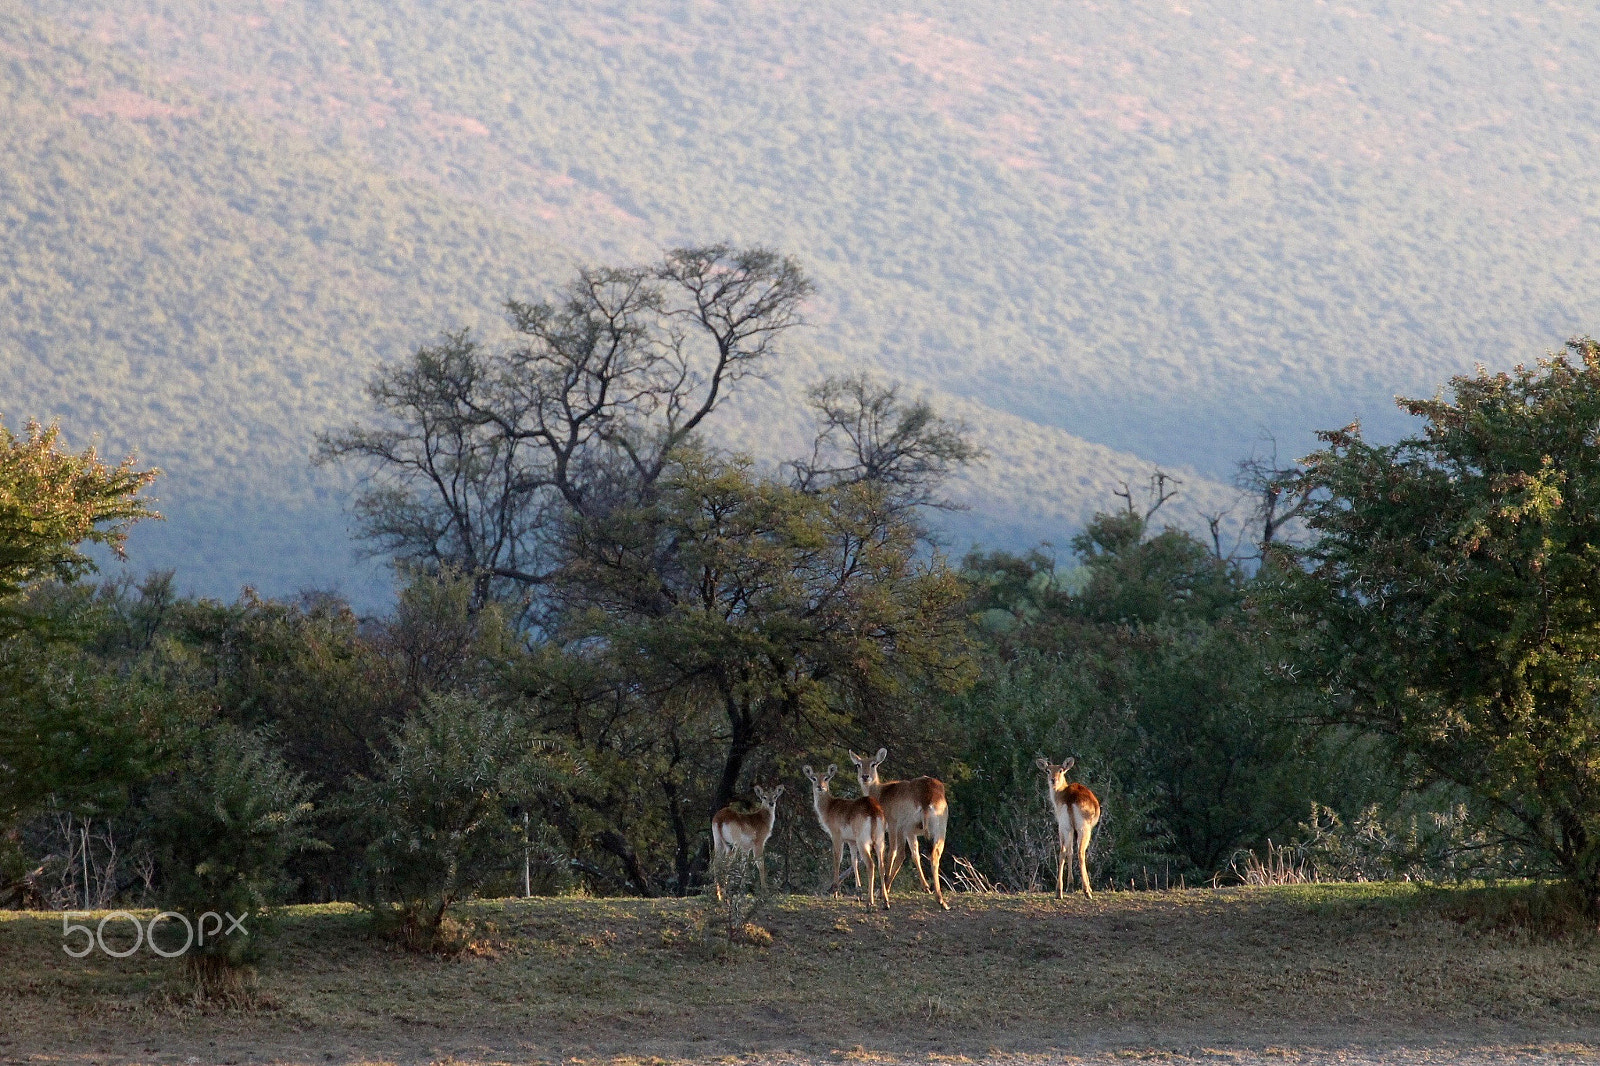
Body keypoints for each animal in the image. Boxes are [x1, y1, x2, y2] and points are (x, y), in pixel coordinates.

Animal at [800, 758, 889, 909]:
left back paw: (869, 903)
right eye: (813, 778)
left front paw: (835, 892)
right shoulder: (851, 841)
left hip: (863, 840)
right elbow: (853, 861)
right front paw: (858, 894)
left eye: (827, 778)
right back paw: (885, 902)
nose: (820, 787)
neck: (829, 808)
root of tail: (873, 810)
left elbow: (837, 858)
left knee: (871, 864)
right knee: (881, 865)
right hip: (879, 839)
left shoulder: (836, 835)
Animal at [851, 745, 947, 902]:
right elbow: (915, 854)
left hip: (903, 826)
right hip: (936, 829)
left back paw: (883, 890)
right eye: (858, 764)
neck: (880, 793)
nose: (865, 776)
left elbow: (891, 853)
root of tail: (927, 798)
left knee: (899, 853)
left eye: (874, 764)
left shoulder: (892, 826)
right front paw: (926, 887)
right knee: (933, 854)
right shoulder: (912, 833)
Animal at [1036, 755, 1100, 896]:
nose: (1053, 780)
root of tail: (1070, 799)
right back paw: (1087, 891)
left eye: (1060, 770)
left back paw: (1058, 892)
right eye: (1047, 770)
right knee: (1080, 852)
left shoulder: (1068, 828)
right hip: (1083, 829)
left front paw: (1070, 886)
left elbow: (1069, 851)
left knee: (1063, 851)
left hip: (1064, 827)